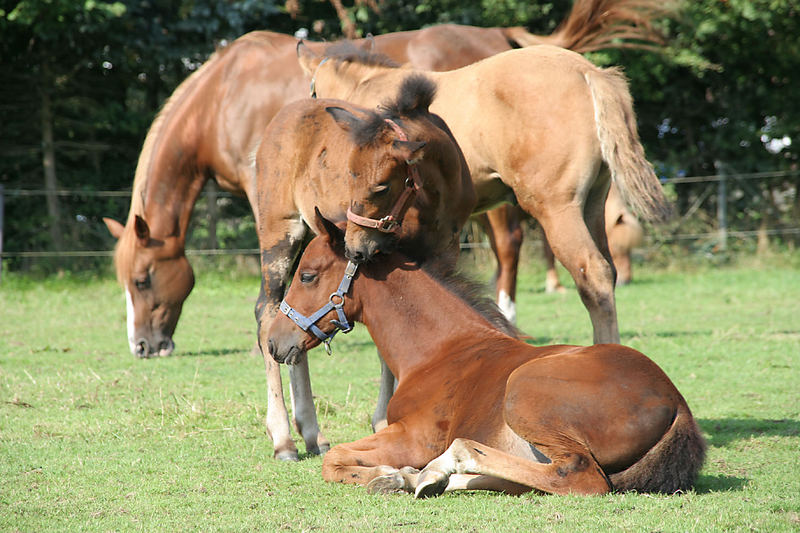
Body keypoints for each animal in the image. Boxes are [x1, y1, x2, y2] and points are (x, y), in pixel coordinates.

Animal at [253, 75, 472, 458]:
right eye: (350, 176)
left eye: (381, 186)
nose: (353, 247)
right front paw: (384, 419)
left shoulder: (446, 253)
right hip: (279, 233)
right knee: (268, 313)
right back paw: (284, 437)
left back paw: (312, 432)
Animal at [268, 214, 708, 496]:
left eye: (307, 275)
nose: (273, 342)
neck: (439, 351)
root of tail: (678, 404)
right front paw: (400, 476)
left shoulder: (413, 437)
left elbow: (333, 458)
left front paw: (394, 475)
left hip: (524, 392)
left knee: (578, 476)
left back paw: (439, 468)